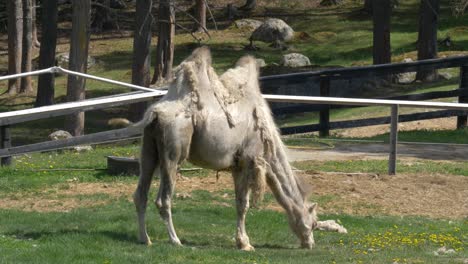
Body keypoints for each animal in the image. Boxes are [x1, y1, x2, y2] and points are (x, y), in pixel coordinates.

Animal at [133, 46, 320, 251]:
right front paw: (245, 243)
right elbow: (244, 204)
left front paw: (241, 241)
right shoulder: (248, 160)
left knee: (140, 194)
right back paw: (175, 240)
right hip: (173, 153)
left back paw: (145, 238)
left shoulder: (236, 166)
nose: (309, 243)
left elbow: (239, 202)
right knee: (163, 199)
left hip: (149, 151)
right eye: (313, 223)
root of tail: (155, 114)